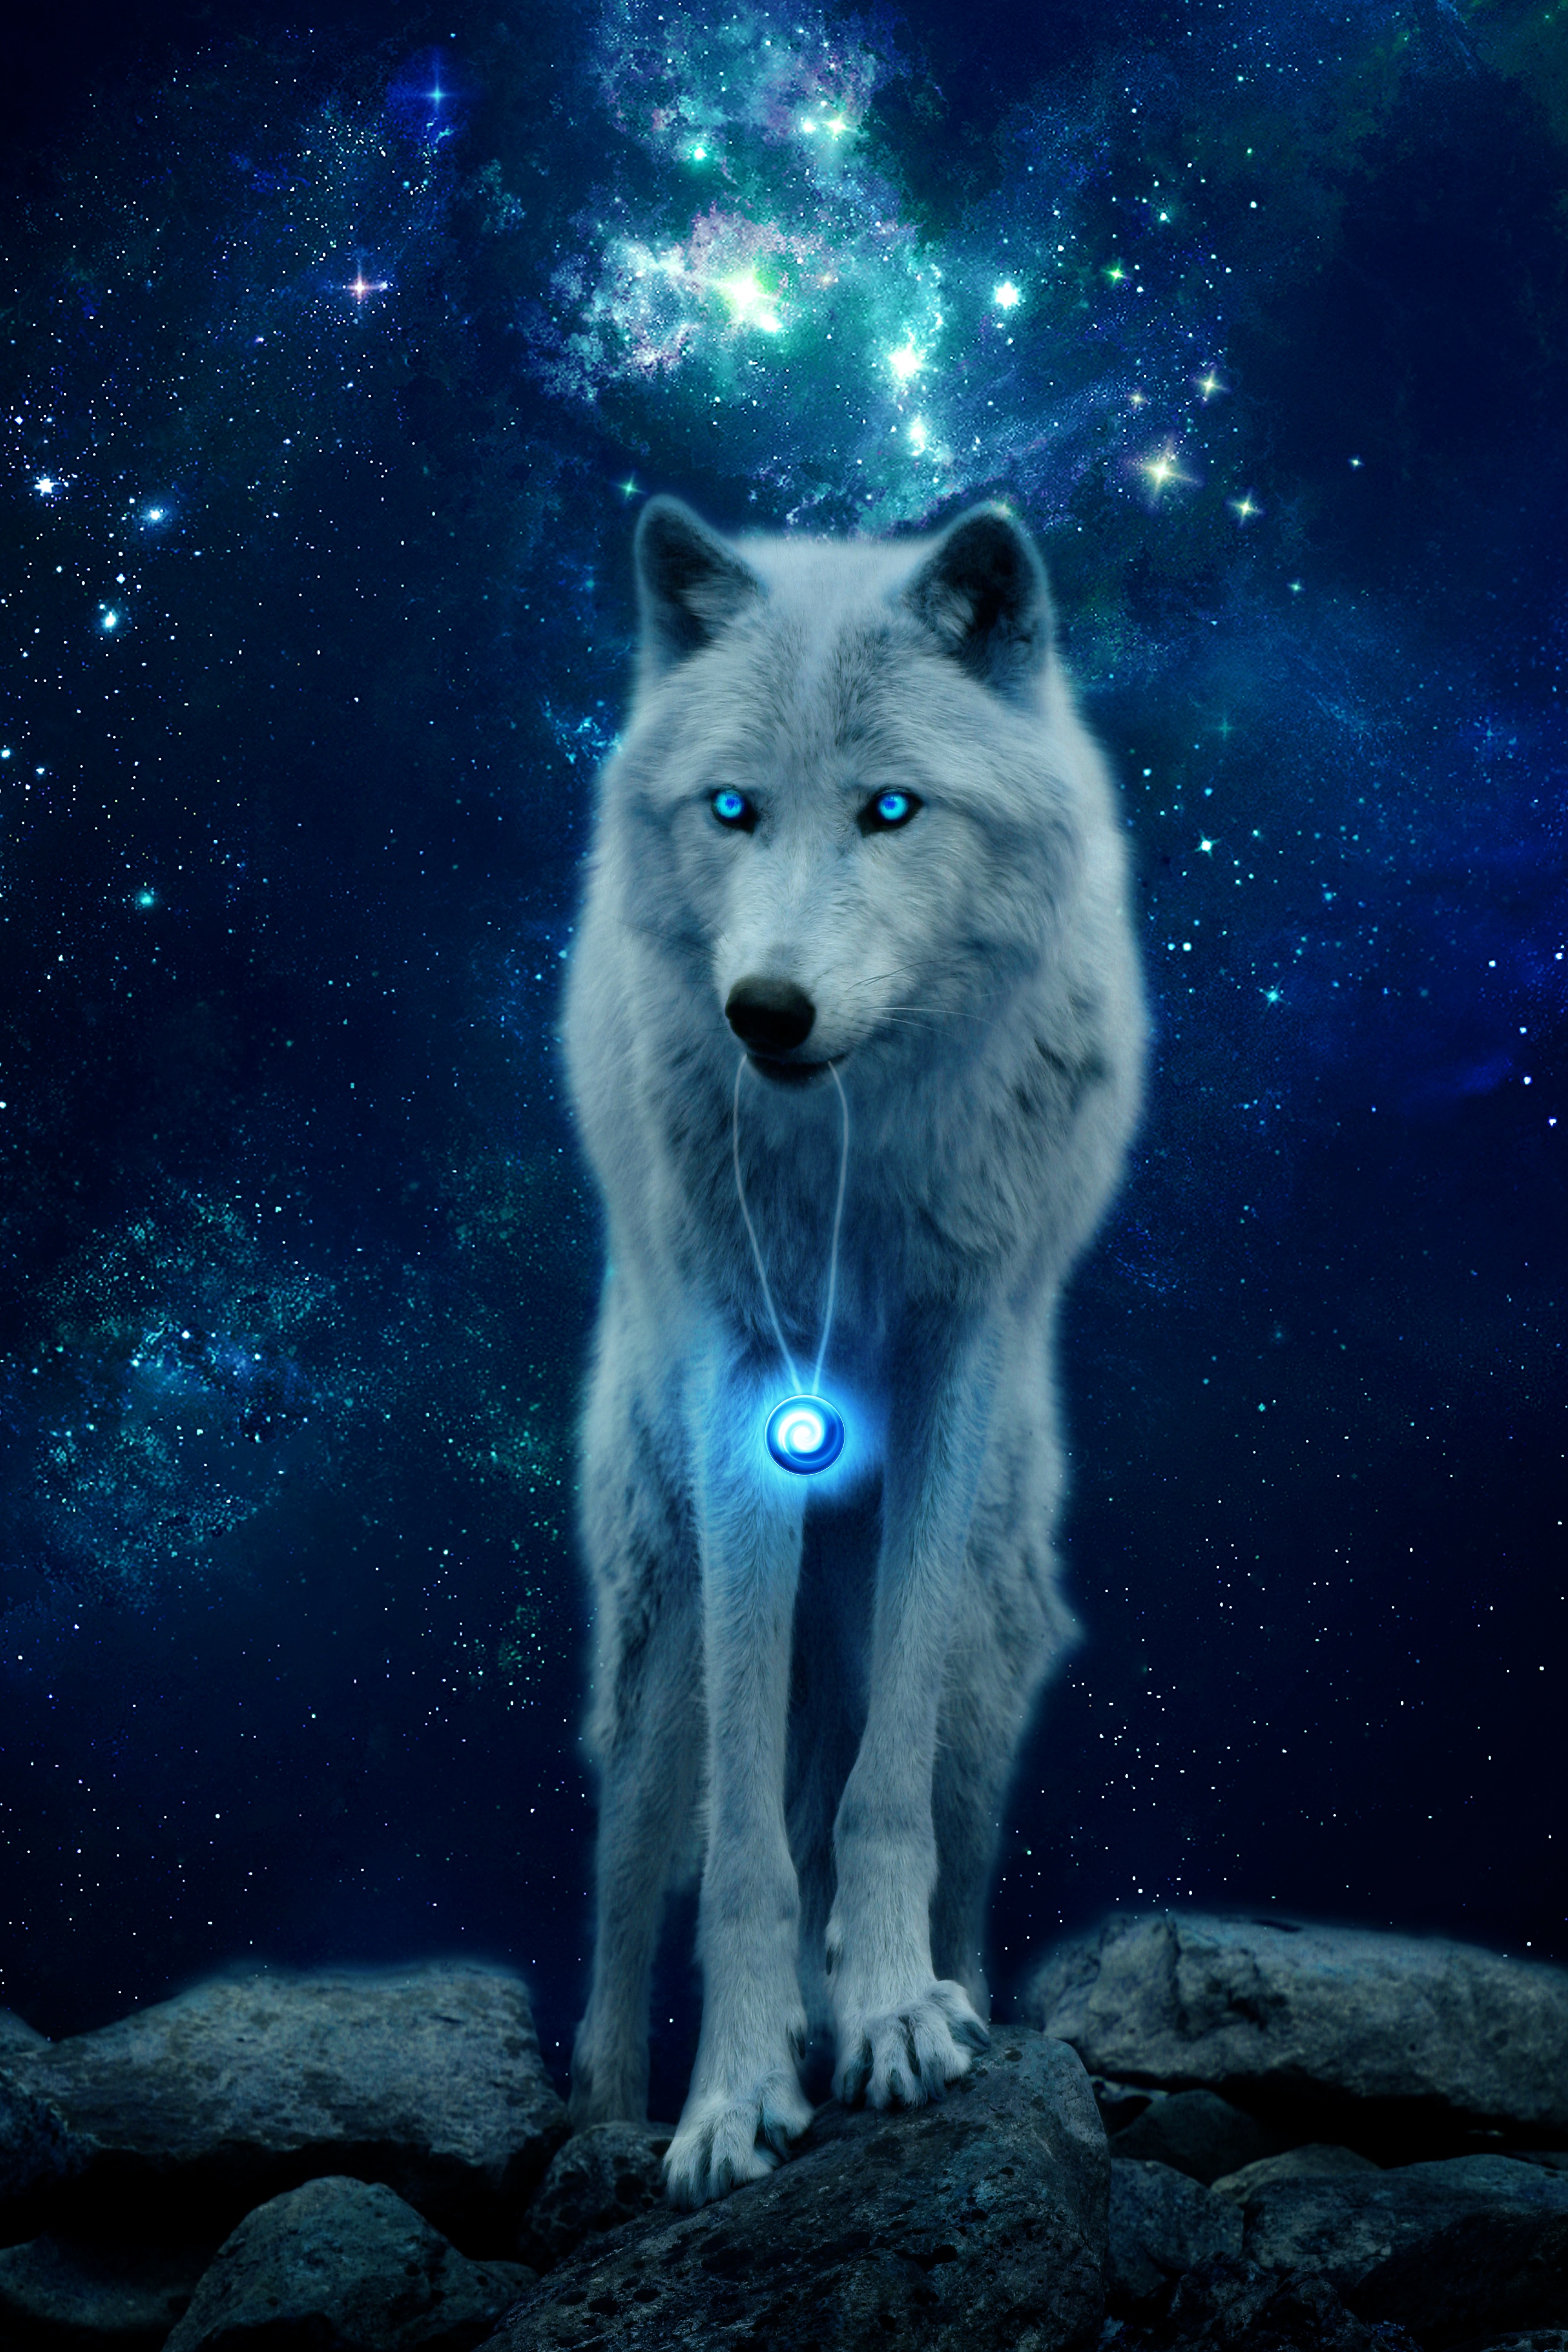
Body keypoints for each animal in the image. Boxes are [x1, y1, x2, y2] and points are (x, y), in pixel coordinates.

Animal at [562, 496, 1146, 2208]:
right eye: (732, 809)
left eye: (893, 809)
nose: (765, 1009)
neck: (851, 1151)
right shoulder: (750, 1390)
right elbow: (745, 1858)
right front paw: (731, 2097)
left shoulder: (955, 1363)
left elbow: (877, 1807)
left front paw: (890, 2015)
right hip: (658, 1616)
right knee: (631, 1877)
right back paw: (606, 2113)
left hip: (994, 1644)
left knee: (929, 1819)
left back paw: (926, 1996)